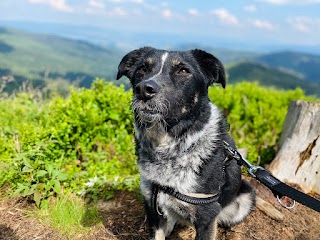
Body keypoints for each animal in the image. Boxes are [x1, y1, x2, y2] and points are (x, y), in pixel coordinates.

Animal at [117, 47, 255, 240]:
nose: (143, 90)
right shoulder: (151, 204)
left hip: (246, 196)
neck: (168, 148)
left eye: (183, 71)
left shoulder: (207, 213)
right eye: (142, 69)